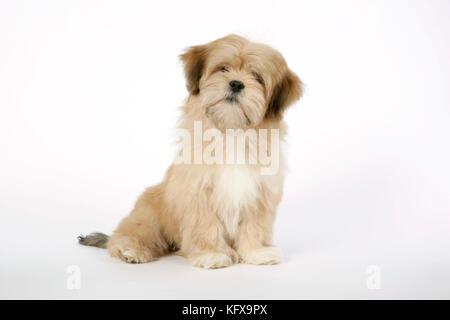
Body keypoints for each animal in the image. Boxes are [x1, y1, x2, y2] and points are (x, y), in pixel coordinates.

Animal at [79, 34, 302, 268]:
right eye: (223, 68)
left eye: (256, 77)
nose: (236, 83)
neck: (231, 131)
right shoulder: (198, 192)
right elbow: (205, 225)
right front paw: (211, 254)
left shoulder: (260, 192)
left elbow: (254, 225)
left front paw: (257, 252)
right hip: (148, 216)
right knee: (129, 234)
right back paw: (131, 250)